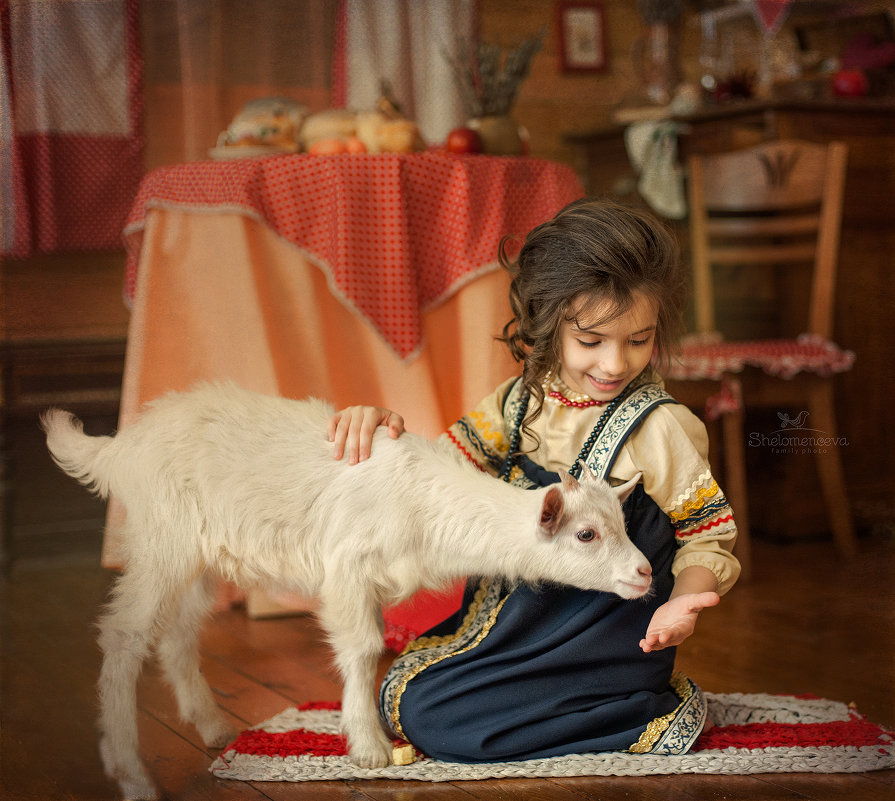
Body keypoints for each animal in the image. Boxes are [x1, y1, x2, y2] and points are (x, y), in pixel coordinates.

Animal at [42, 382, 656, 800]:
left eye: (622, 524)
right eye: (585, 534)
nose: (645, 573)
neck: (424, 501)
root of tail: (118, 450)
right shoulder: (347, 569)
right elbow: (362, 650)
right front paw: (369, 748)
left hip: (200, 557)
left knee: (178, 631)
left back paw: (211, 726)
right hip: (161, 540)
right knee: (125, 635)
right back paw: (132, 773)